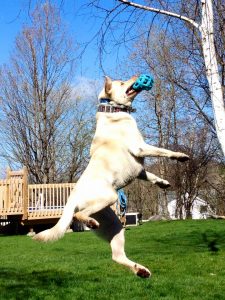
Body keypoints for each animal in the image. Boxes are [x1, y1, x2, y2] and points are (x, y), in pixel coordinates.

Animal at [33, 76, 188, 278]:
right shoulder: (140, 147)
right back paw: (90, 222)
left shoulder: (139, 169)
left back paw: (141, 270)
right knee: (79, 214)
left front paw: (162, 183)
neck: (112, 110)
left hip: (114, 225)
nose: (137, 76)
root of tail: (72, 198)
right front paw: (180, 156)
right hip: (110, 197)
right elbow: (164, 151)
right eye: (122, 83)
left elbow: (151, 175)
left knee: (116, 256)